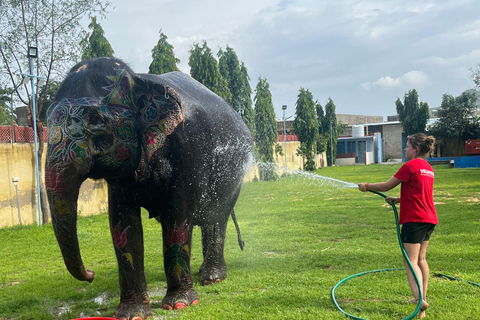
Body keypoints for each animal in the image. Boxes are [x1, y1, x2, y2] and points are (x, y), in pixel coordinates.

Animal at [45, 56, 253, 318]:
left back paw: (211, 278)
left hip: (234, 172)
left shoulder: (189, 147)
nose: (91, 275)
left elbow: (177, 215)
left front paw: (180, 304)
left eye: (96, 120)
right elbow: (123, 223)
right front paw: (132, 314)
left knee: (216, 218)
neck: (138, 80)